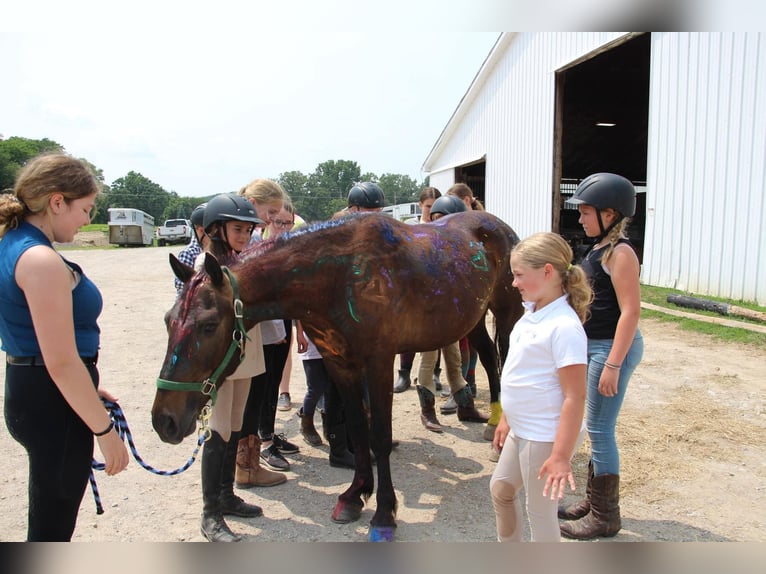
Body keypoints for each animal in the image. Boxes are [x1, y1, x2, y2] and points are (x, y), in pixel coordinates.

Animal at [152, 212, 520, 544]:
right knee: (489, 358)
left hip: (508, 314)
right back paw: (492, 425)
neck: (339, 276)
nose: (164, 421)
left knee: (502, 361)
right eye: (168, 320)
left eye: (209, 325)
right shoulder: (338, 363)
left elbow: (379, 437)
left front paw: (384, 516)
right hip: (472, 318)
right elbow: (357, 428)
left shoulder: (379, 362)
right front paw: (355, 496)